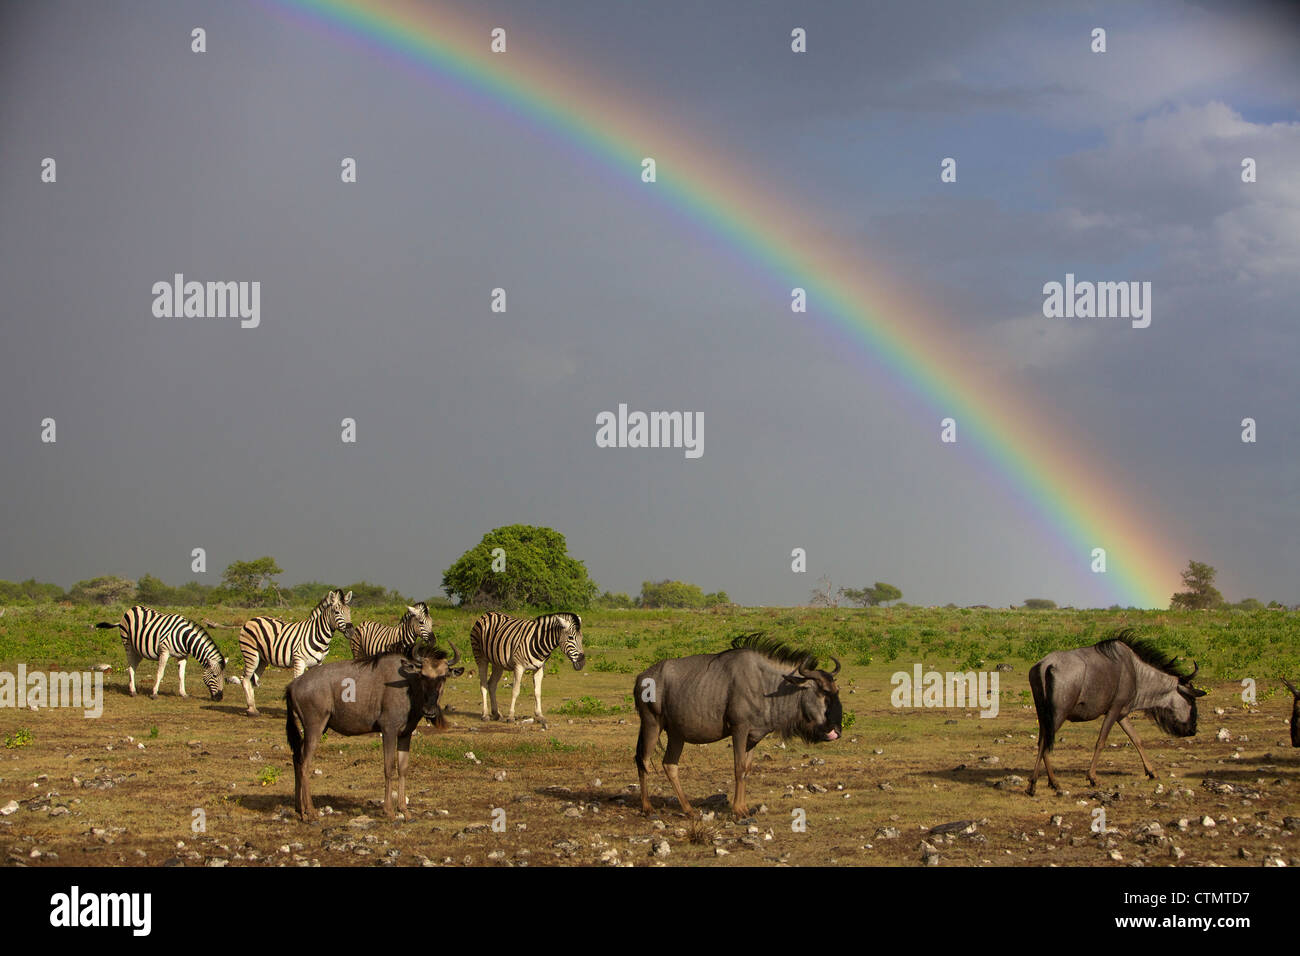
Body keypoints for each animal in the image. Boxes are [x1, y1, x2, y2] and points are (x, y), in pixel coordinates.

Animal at [94, 608, 227, 697]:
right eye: (215, 676)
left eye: (223, 677)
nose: (219, 698)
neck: (185, 638)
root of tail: (131, 609)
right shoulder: (164, 652)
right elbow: (160, 673)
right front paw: (154, 693)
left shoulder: (183, 656)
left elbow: (181, 675)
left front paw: (183, 693)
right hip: (128, 644)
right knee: (131, 667)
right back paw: (133, 692)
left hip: (138, 650)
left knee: (133, 667)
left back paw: (131, 688)